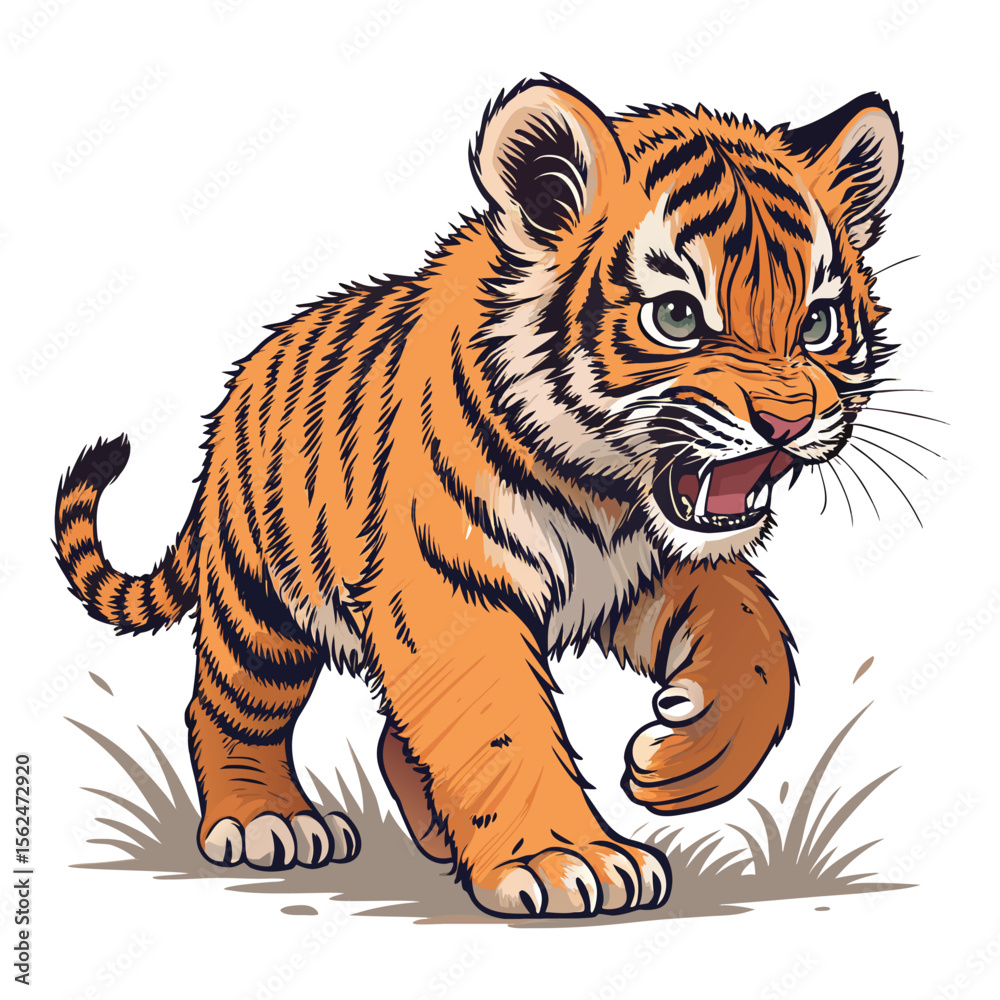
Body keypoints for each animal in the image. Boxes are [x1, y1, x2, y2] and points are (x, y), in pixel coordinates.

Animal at [54, 77, 903, 918]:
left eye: (819, 324)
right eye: (676, 316)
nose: (788, 421)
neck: (607, 489)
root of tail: (244, 373)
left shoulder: (655, 568)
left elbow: (758, 647)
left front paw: (685, 761)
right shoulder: (448, 585)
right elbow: (498, 726)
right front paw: (566, 861)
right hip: (257, 604)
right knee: (227, 707)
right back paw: (267, 821)